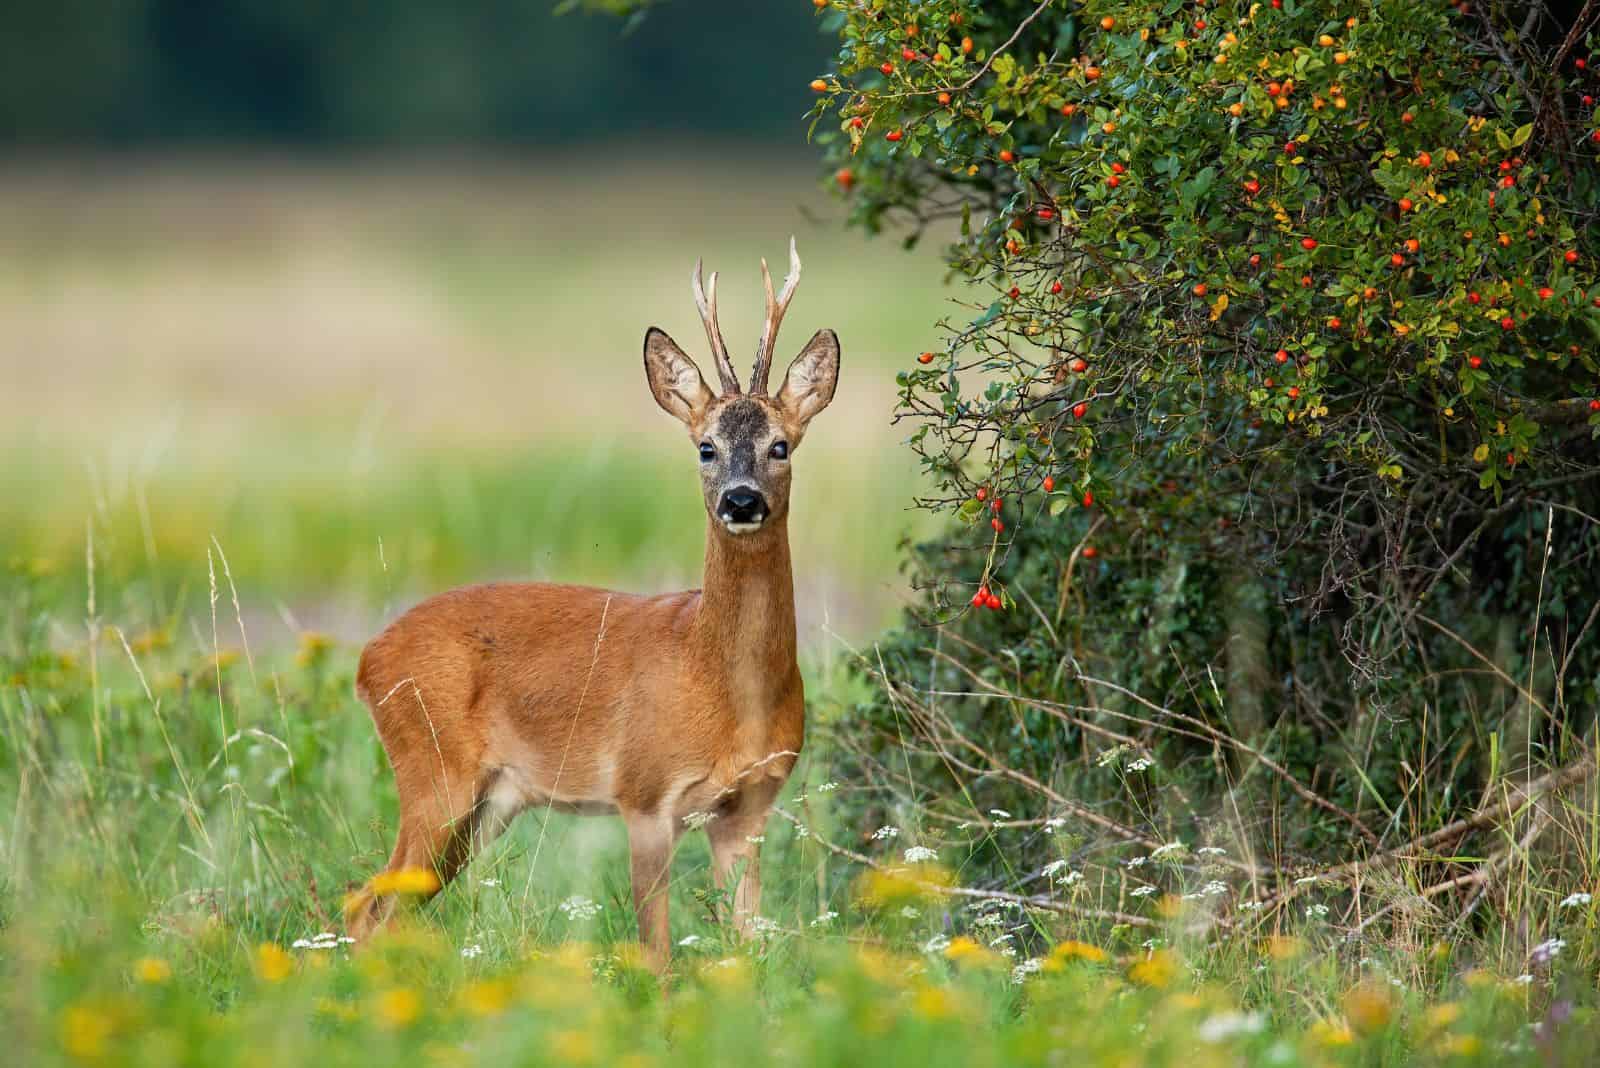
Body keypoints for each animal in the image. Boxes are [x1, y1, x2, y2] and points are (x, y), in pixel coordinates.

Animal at [339, 239, 838, 965]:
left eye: (781, 445)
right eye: (705, 447)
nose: (741, 500)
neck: (718, 681)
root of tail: (366, 660)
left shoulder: (748, 808)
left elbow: (745, 944)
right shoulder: (645, 794)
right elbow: (657, 952)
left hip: (488, 804)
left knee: (383, 907)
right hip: (432, 770)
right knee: (366, 906)